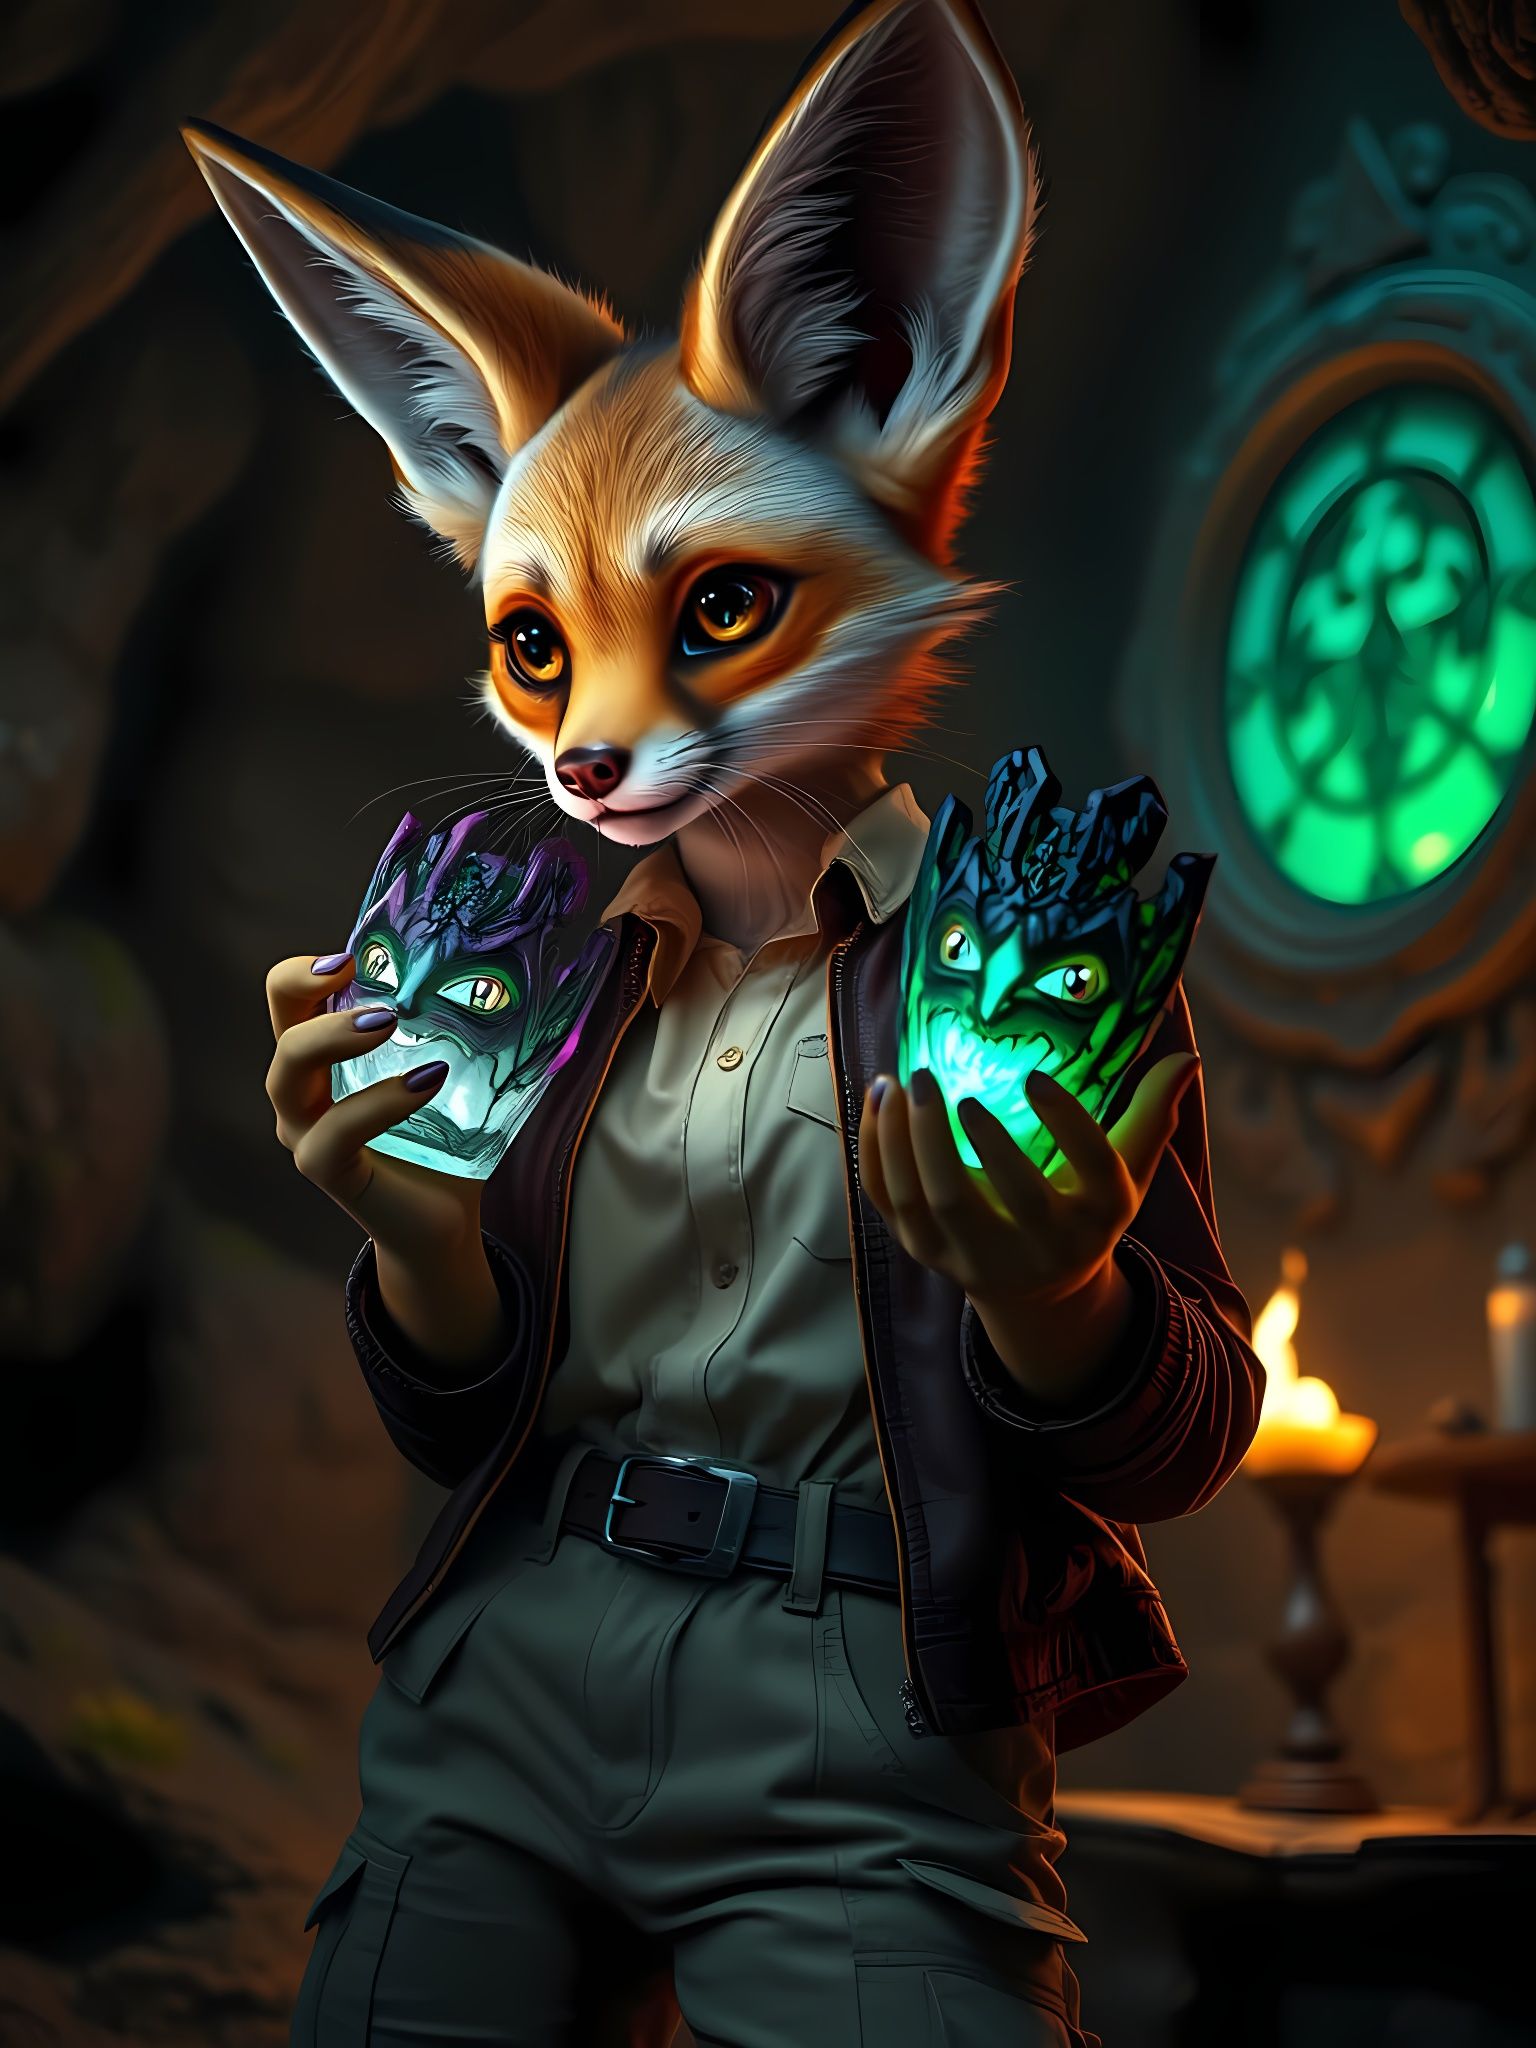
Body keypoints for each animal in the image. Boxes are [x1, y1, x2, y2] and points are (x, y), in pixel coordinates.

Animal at [184, 3, 1258, 2044]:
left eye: (728, 606)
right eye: (531, 643)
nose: (586, 775)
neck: (762, 910)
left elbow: (1195, 1359)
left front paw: (1032, 1231)